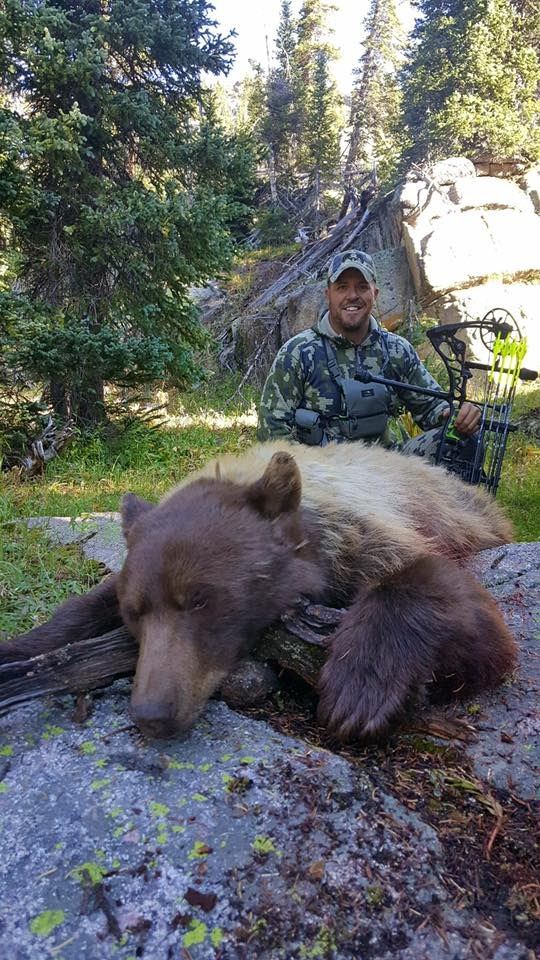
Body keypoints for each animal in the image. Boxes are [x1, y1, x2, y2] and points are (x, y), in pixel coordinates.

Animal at [0, 441, 517, 741]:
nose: (151, 713)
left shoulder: (361, 538)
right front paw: (21, 651)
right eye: (135, 612)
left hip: (468, 510)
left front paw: (358, 691)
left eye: (201, 600)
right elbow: (85, 605)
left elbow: (475, 622)